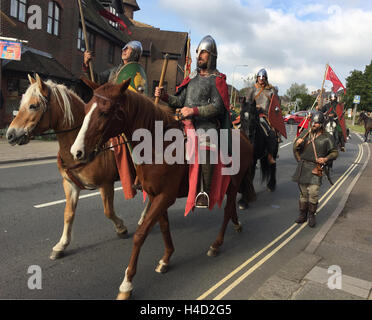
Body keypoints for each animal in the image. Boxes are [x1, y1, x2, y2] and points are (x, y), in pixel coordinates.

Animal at [5, 74, 131, 260]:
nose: (10, 134)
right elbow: (68, 214)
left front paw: (121, 228)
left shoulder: (105, 184)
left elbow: (108, 211)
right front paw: (61, 245)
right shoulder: (70, 185)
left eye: (33, 105)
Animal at [70, 79, 256, 298]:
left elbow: (141, 234)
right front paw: (166, 259)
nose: (77, 152)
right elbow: (164, 226)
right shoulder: (155, 195)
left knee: (227, 211)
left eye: (105, 112)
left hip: (233, 184)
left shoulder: (165, 196)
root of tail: (245, 137)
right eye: (86, 109)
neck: (159, 145)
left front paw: (127, 283)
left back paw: (216, 245)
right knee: (231, 209)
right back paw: (237, 225)